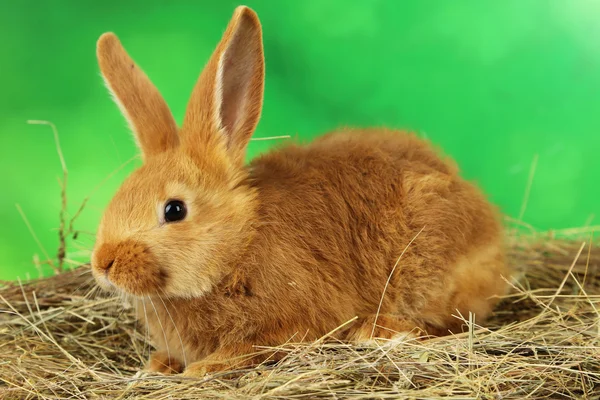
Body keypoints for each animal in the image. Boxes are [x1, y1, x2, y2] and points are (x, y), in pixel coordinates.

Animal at [91, 4, 508, 376]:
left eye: (174, 210)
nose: (103, 263)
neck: (238, 246)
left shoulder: (290, 322)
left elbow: (253, 347)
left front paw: (204, 368)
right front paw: (159, 364)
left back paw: (376, 332)